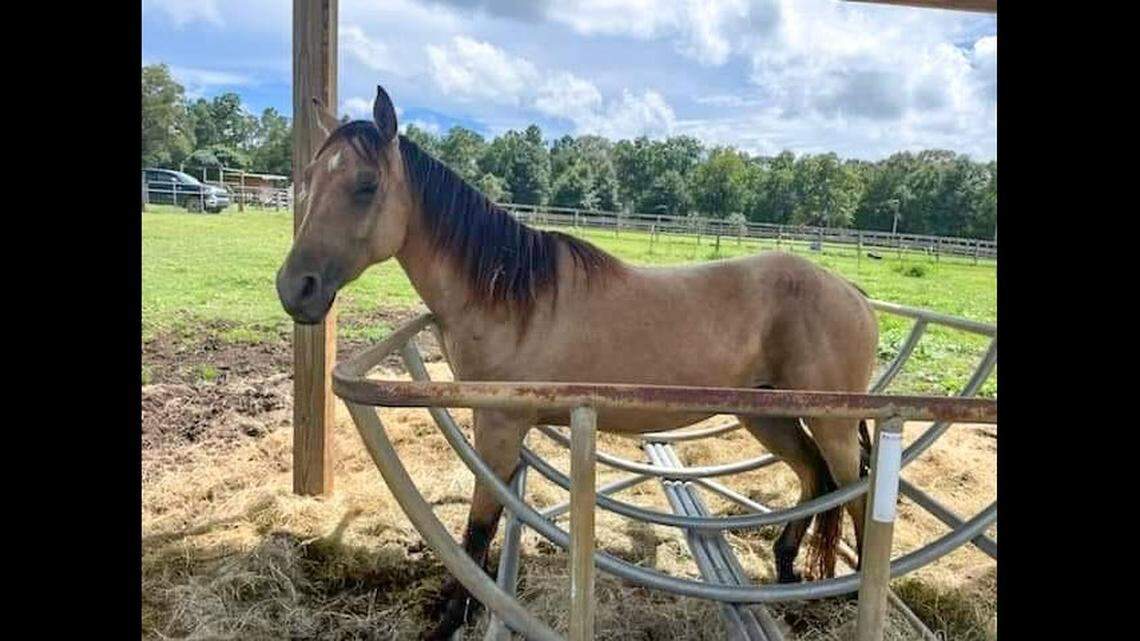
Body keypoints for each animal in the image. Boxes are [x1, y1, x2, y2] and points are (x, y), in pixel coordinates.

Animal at [276, 86, 879, 640]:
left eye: (366, 185)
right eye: (307, 180)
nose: (294, 288)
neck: (508, 297)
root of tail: (851, 292)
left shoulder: (499, 425)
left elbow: (477, 528)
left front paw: (451, 617)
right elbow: (491, 518)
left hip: (831, 424)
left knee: (857, 494)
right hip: (769, 415)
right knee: (815, 477)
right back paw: (785, 570)